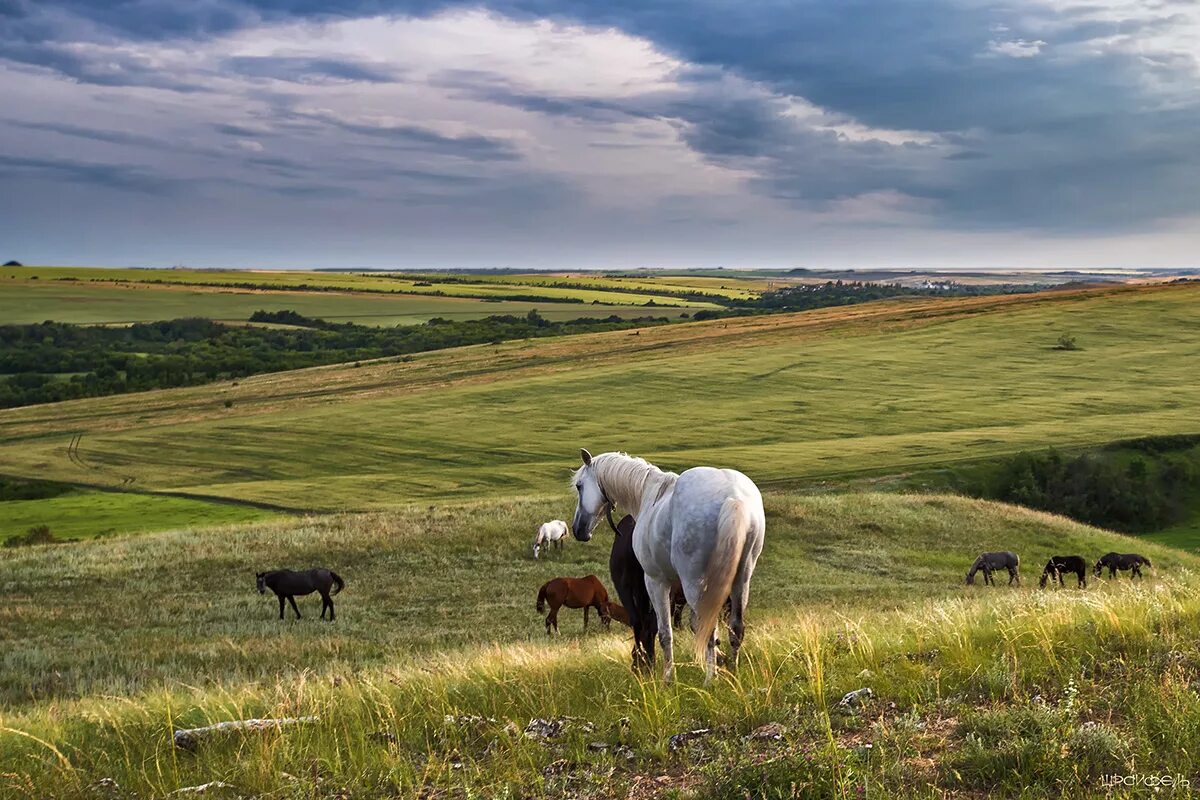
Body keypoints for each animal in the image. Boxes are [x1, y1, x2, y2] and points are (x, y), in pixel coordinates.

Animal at [566, 448, 763, 686]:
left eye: (580, 486)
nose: (578, 529)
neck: (648, 495)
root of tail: (733, 497)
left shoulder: (656, 582)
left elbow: (664, 632)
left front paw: (668, 678)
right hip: (741, 582)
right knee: (735, 628)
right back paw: (732, 675)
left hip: (696, 586)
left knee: (709, 630)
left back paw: (710, 680)